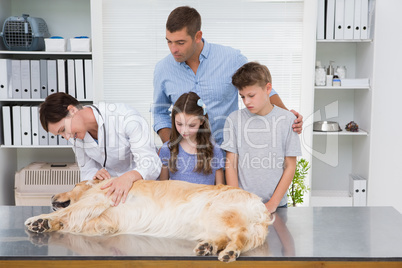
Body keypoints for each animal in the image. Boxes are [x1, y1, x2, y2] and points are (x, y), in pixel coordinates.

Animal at [25, 178, 274, 262]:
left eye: (73, 185)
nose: (51, 197)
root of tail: (262, 210)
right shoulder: (105, 223)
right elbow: (71, 219)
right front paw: (46, 223)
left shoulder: (98, 198)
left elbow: (66, 211)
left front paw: (39, 219)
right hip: (212, 220)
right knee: (223, 236)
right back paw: (208, 246)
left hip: (221, 211)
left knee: (239, 236)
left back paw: (229, 252)